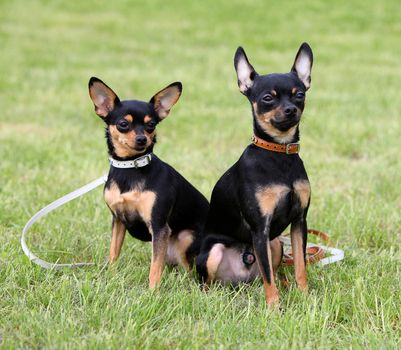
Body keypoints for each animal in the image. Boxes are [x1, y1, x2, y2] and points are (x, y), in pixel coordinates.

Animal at [89, 78, 208, 288]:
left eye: (151, 124)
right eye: (123, 124)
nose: (142, 139)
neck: (130, 168)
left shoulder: (159, 227)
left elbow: (155, 267)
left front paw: (153, 291)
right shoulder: (118, 220)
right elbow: (113, 252)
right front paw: (110, 275)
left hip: (185, 238)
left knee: (190, 270)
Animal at [196, 43, 312, 304]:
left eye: (299, 95)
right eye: (268, 98)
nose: (291, 109)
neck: (280, 154)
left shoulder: (299, 222)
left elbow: (300, 266)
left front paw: (305, 296)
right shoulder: (260, 228)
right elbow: (269, 277)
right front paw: (274, 306)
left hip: (276, 244)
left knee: (269, 273)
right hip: (215, 251)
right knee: (207, 283)